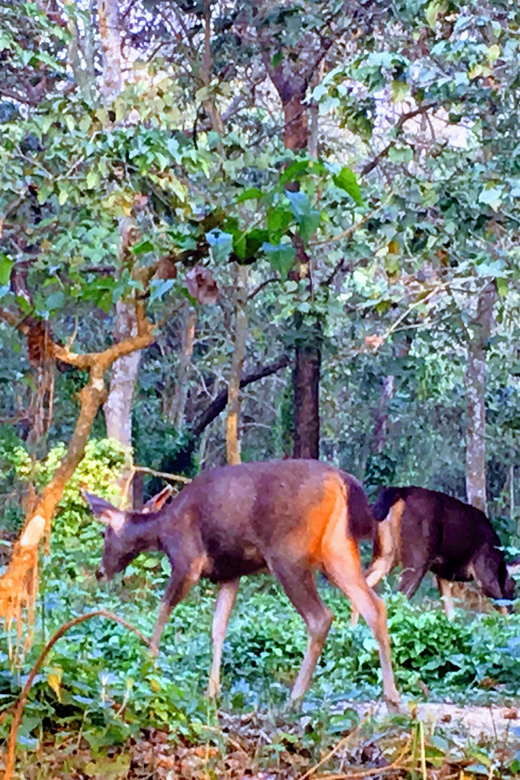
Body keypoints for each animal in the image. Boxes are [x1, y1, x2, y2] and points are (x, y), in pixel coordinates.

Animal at [83, 458, 400, 708]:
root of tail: (343, 483)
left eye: (104, 535)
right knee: (375, 606)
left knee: (320, 617)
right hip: (337, 548)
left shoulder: (188, 561)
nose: (100, 572)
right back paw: (392, 699)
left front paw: (148, 664)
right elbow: (218, 627)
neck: (162, 532)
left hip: (289, 554)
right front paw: (212, 691)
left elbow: (163, 610)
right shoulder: (230, 574)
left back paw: (295, 698)